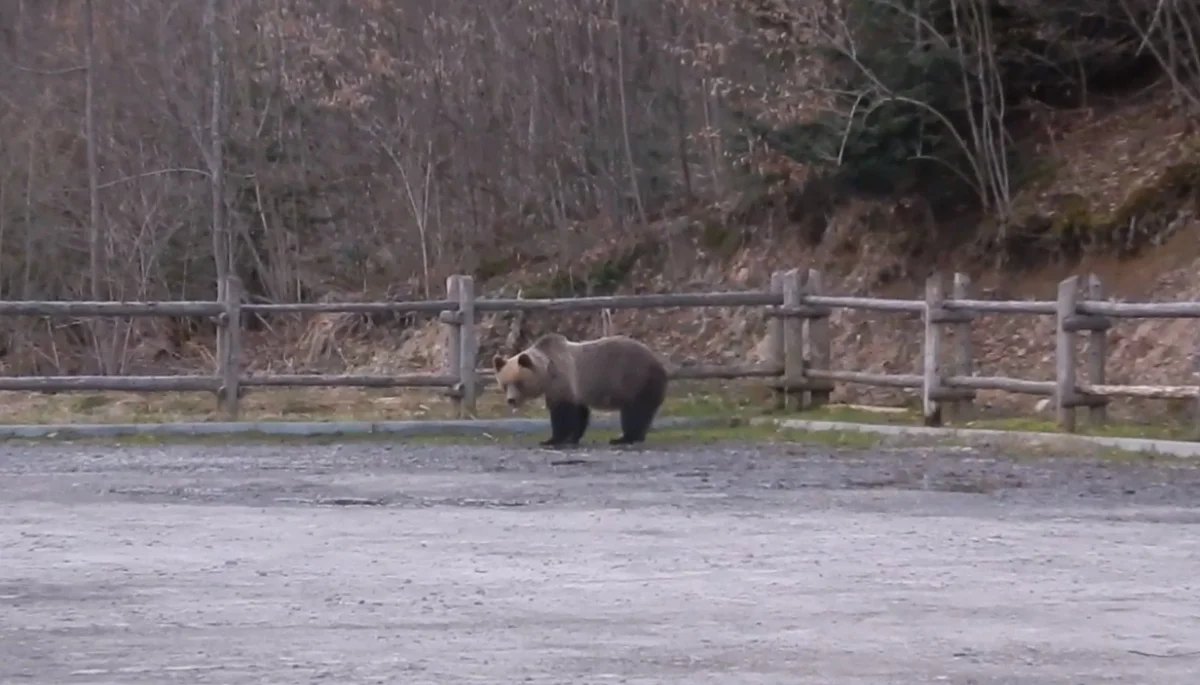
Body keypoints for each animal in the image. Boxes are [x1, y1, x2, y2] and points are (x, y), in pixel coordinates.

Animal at [492, 333, 672, 451]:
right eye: (505, 384)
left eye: (519, 383)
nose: (511, 400)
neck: (547, 373)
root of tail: (660, 364)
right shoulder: (576, 391)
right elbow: (579, 413)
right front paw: (572, 438)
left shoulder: (563, 382)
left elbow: (563, 414)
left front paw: (552, 440)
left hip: (637, 381)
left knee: (634, 412)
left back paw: (624, 438)